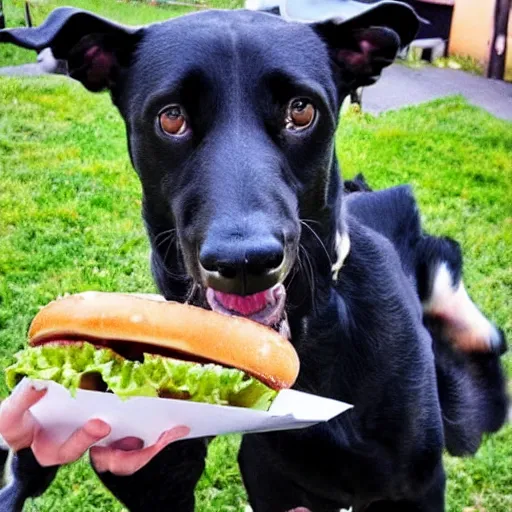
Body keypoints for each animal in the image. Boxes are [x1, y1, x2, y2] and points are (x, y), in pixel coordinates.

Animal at [0, 1, 506, 512]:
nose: (245, 263)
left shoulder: (420, 485)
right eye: (171, 118)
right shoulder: (235, 478)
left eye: (301, 110)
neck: (313, 329)